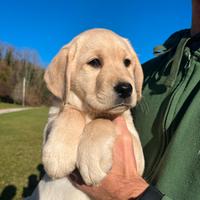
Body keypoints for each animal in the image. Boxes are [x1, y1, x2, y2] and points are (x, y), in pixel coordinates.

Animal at [27, 28, 145, 200]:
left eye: (127, 62)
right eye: (94, 62)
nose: (126, 89)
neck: (90, 112)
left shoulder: (137, 154)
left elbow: (102, 120)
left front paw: (92, 161)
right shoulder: (51, 120)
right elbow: (71, 111)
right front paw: (58, 155)